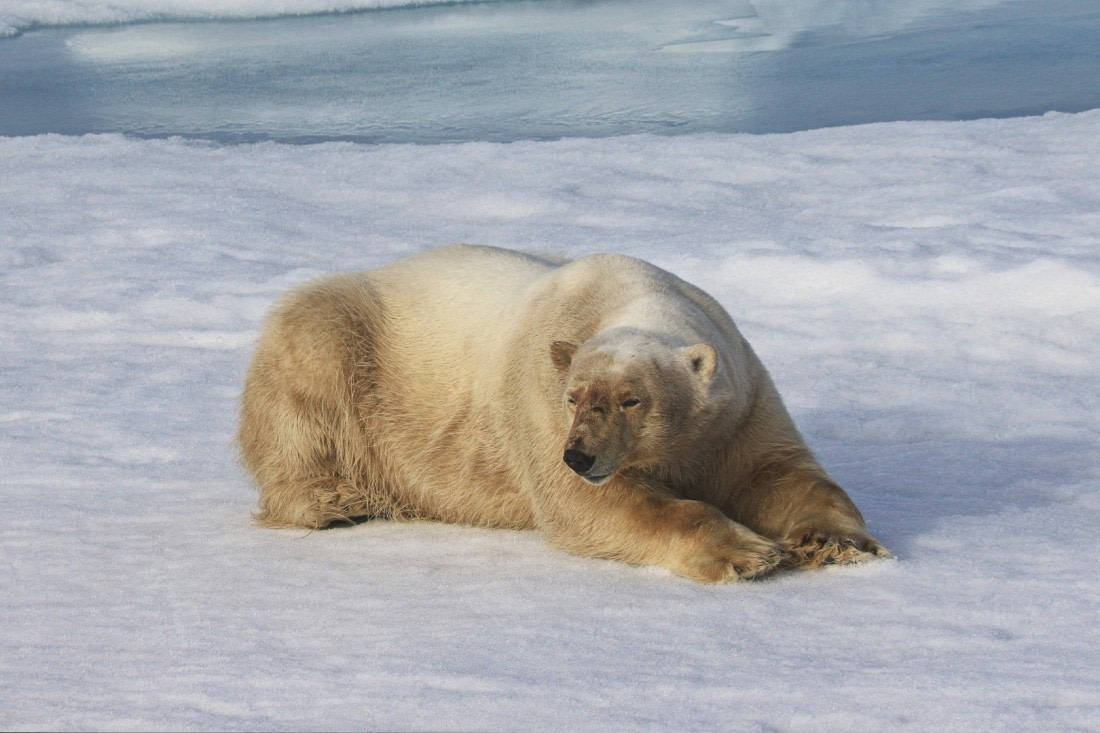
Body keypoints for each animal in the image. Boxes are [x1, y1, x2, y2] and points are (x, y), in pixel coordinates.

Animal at [238, 244, 889, 583]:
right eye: (577, 397)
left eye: (632, 398)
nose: (581, 455)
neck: (630, 297)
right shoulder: (539, 398)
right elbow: (595, 505)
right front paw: (750, 553)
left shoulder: (737, 404)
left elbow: (778, 472)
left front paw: (832, 543)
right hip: (353, 346)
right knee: (306, 388)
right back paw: (333, 502)